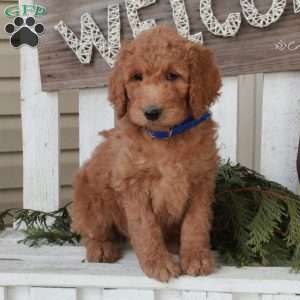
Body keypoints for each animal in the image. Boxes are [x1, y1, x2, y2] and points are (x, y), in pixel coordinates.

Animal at [72, 25, 221, 282]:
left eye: (172, 76)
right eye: (136, 78)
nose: (151, 112)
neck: (165, 137)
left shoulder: (201, 181)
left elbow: (196, 222)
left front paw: (196, 256)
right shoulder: (134, 186)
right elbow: (146, 227)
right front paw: (158, 263)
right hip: (90, 200)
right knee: (92, 231)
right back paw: (101, 247)